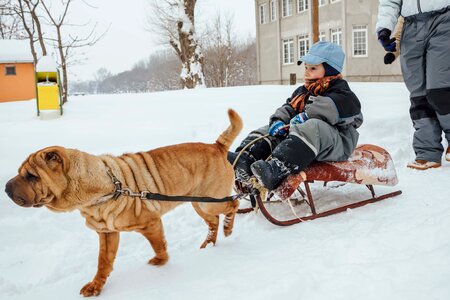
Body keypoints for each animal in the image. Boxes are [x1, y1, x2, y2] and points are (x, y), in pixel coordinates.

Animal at [4, 109, 243, 296]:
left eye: (31, 176)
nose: (5, 188)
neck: (103, 188)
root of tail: (217, 146)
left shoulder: (150, 224)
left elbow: (159, 245)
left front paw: (161, 261)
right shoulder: (107, 233)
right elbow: (103, 261)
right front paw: (95, 286)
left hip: (211, 201)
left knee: (233, 205)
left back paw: (229, 228)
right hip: (198, 204)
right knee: (213, 222)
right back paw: (208, 244)